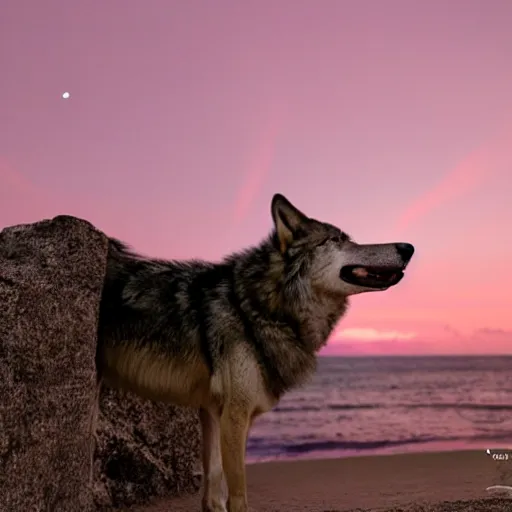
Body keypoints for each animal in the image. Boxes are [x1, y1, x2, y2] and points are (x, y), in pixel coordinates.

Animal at [97, 193, 416, 512]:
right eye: (338, 239)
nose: (408, 247)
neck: (257, 305)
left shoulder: (214, 412)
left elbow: (213, 483)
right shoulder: (236, 413)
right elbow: (237, 494)